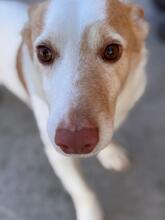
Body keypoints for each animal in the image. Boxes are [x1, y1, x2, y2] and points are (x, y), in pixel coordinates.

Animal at [0, 0, 149, 219]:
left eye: (112, 51)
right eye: (44, 53)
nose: (75, 140)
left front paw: (110, 154)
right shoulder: (56, 155)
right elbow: (80, 190)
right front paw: (90, 213)